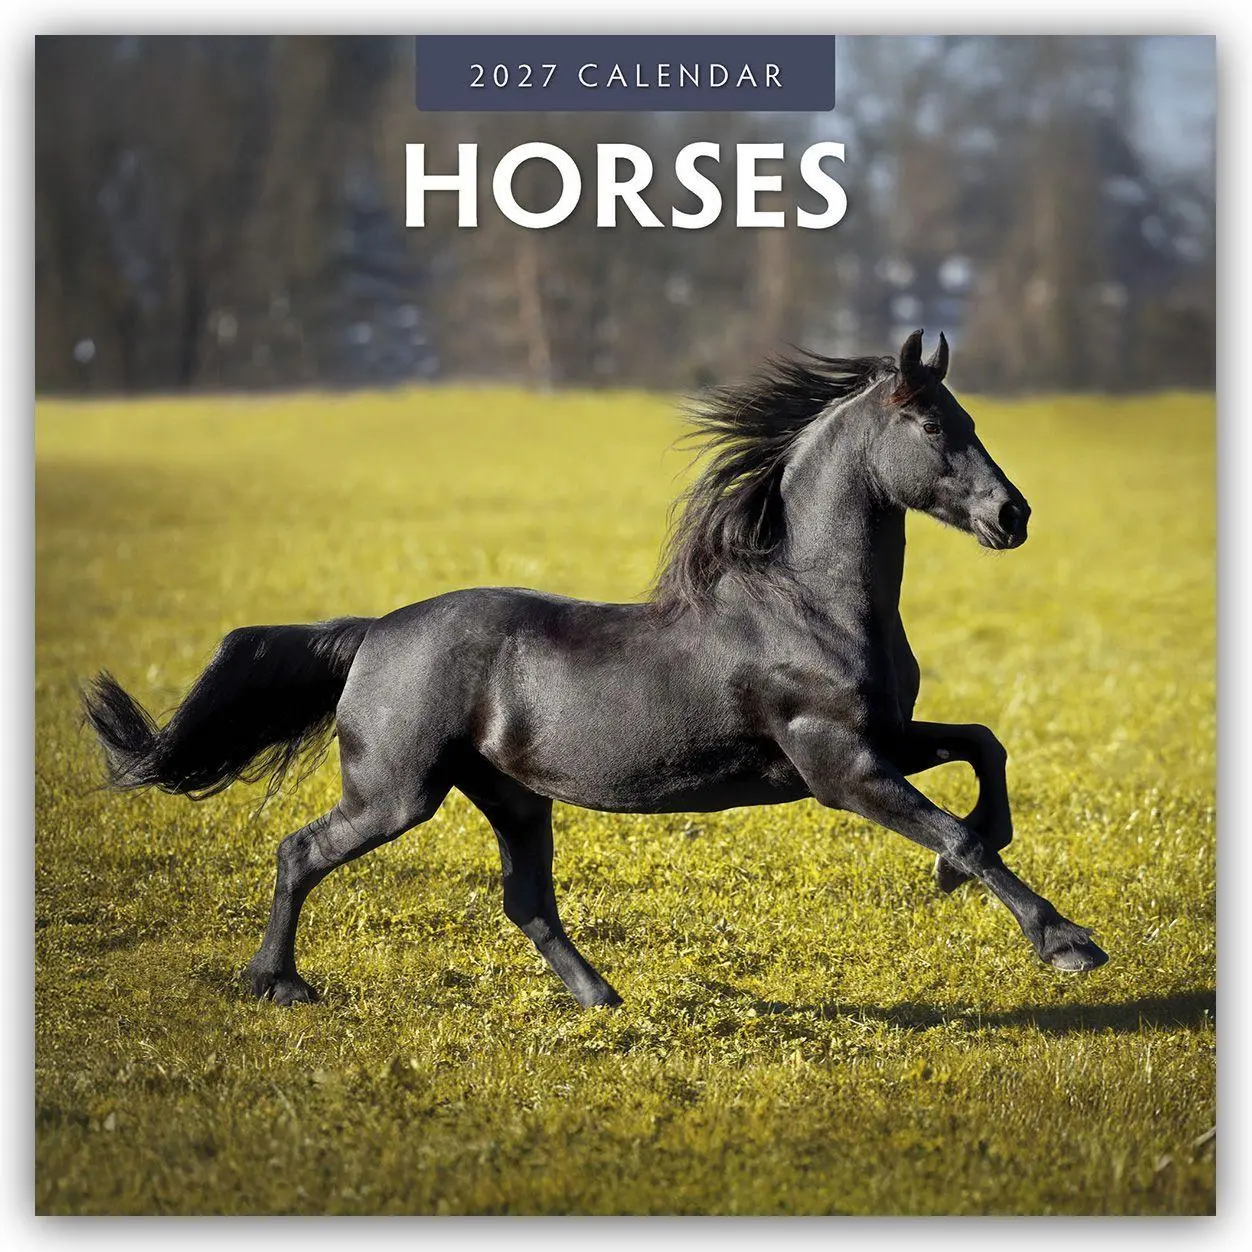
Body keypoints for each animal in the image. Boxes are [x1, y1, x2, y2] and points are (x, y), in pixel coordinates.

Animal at [83, 330, 1109, 1009]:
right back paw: (277, 984)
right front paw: (1066, 943)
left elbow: (985, 748)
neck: (808, 602)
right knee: (303, 850)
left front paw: (966, 874)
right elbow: (962, 833)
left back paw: (603, 1001)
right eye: (933, 426)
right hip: (396, 792)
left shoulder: (884, 739)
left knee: (528, 901)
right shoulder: (837, 764)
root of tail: (373, 632)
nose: (1012, 516)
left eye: (966, 417)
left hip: (509, 795)